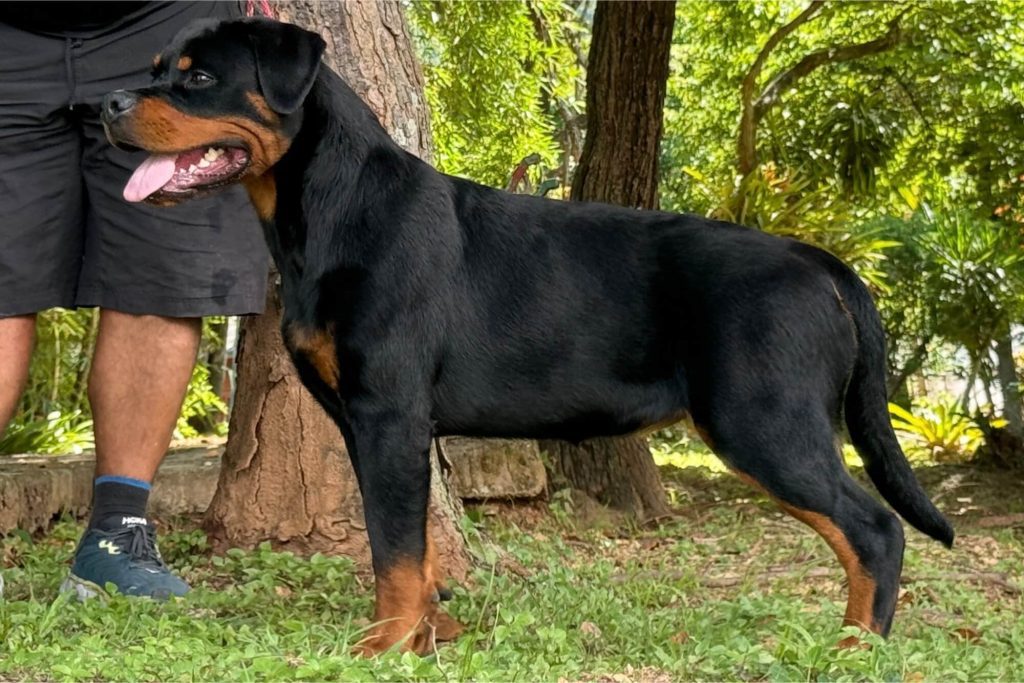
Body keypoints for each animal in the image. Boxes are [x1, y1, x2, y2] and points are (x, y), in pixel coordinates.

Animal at [101, 18, 953, 656]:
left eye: (198, 78)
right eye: (158, 68)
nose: (106, 104)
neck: (332, 207)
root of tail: (819, 261)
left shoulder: (388, 413)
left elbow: (393, 548)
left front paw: (383, 645)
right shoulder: (374, 425)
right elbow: (412, 545)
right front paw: (427, 635)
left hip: (764, 421)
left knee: (876, 530)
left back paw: (854, 650)